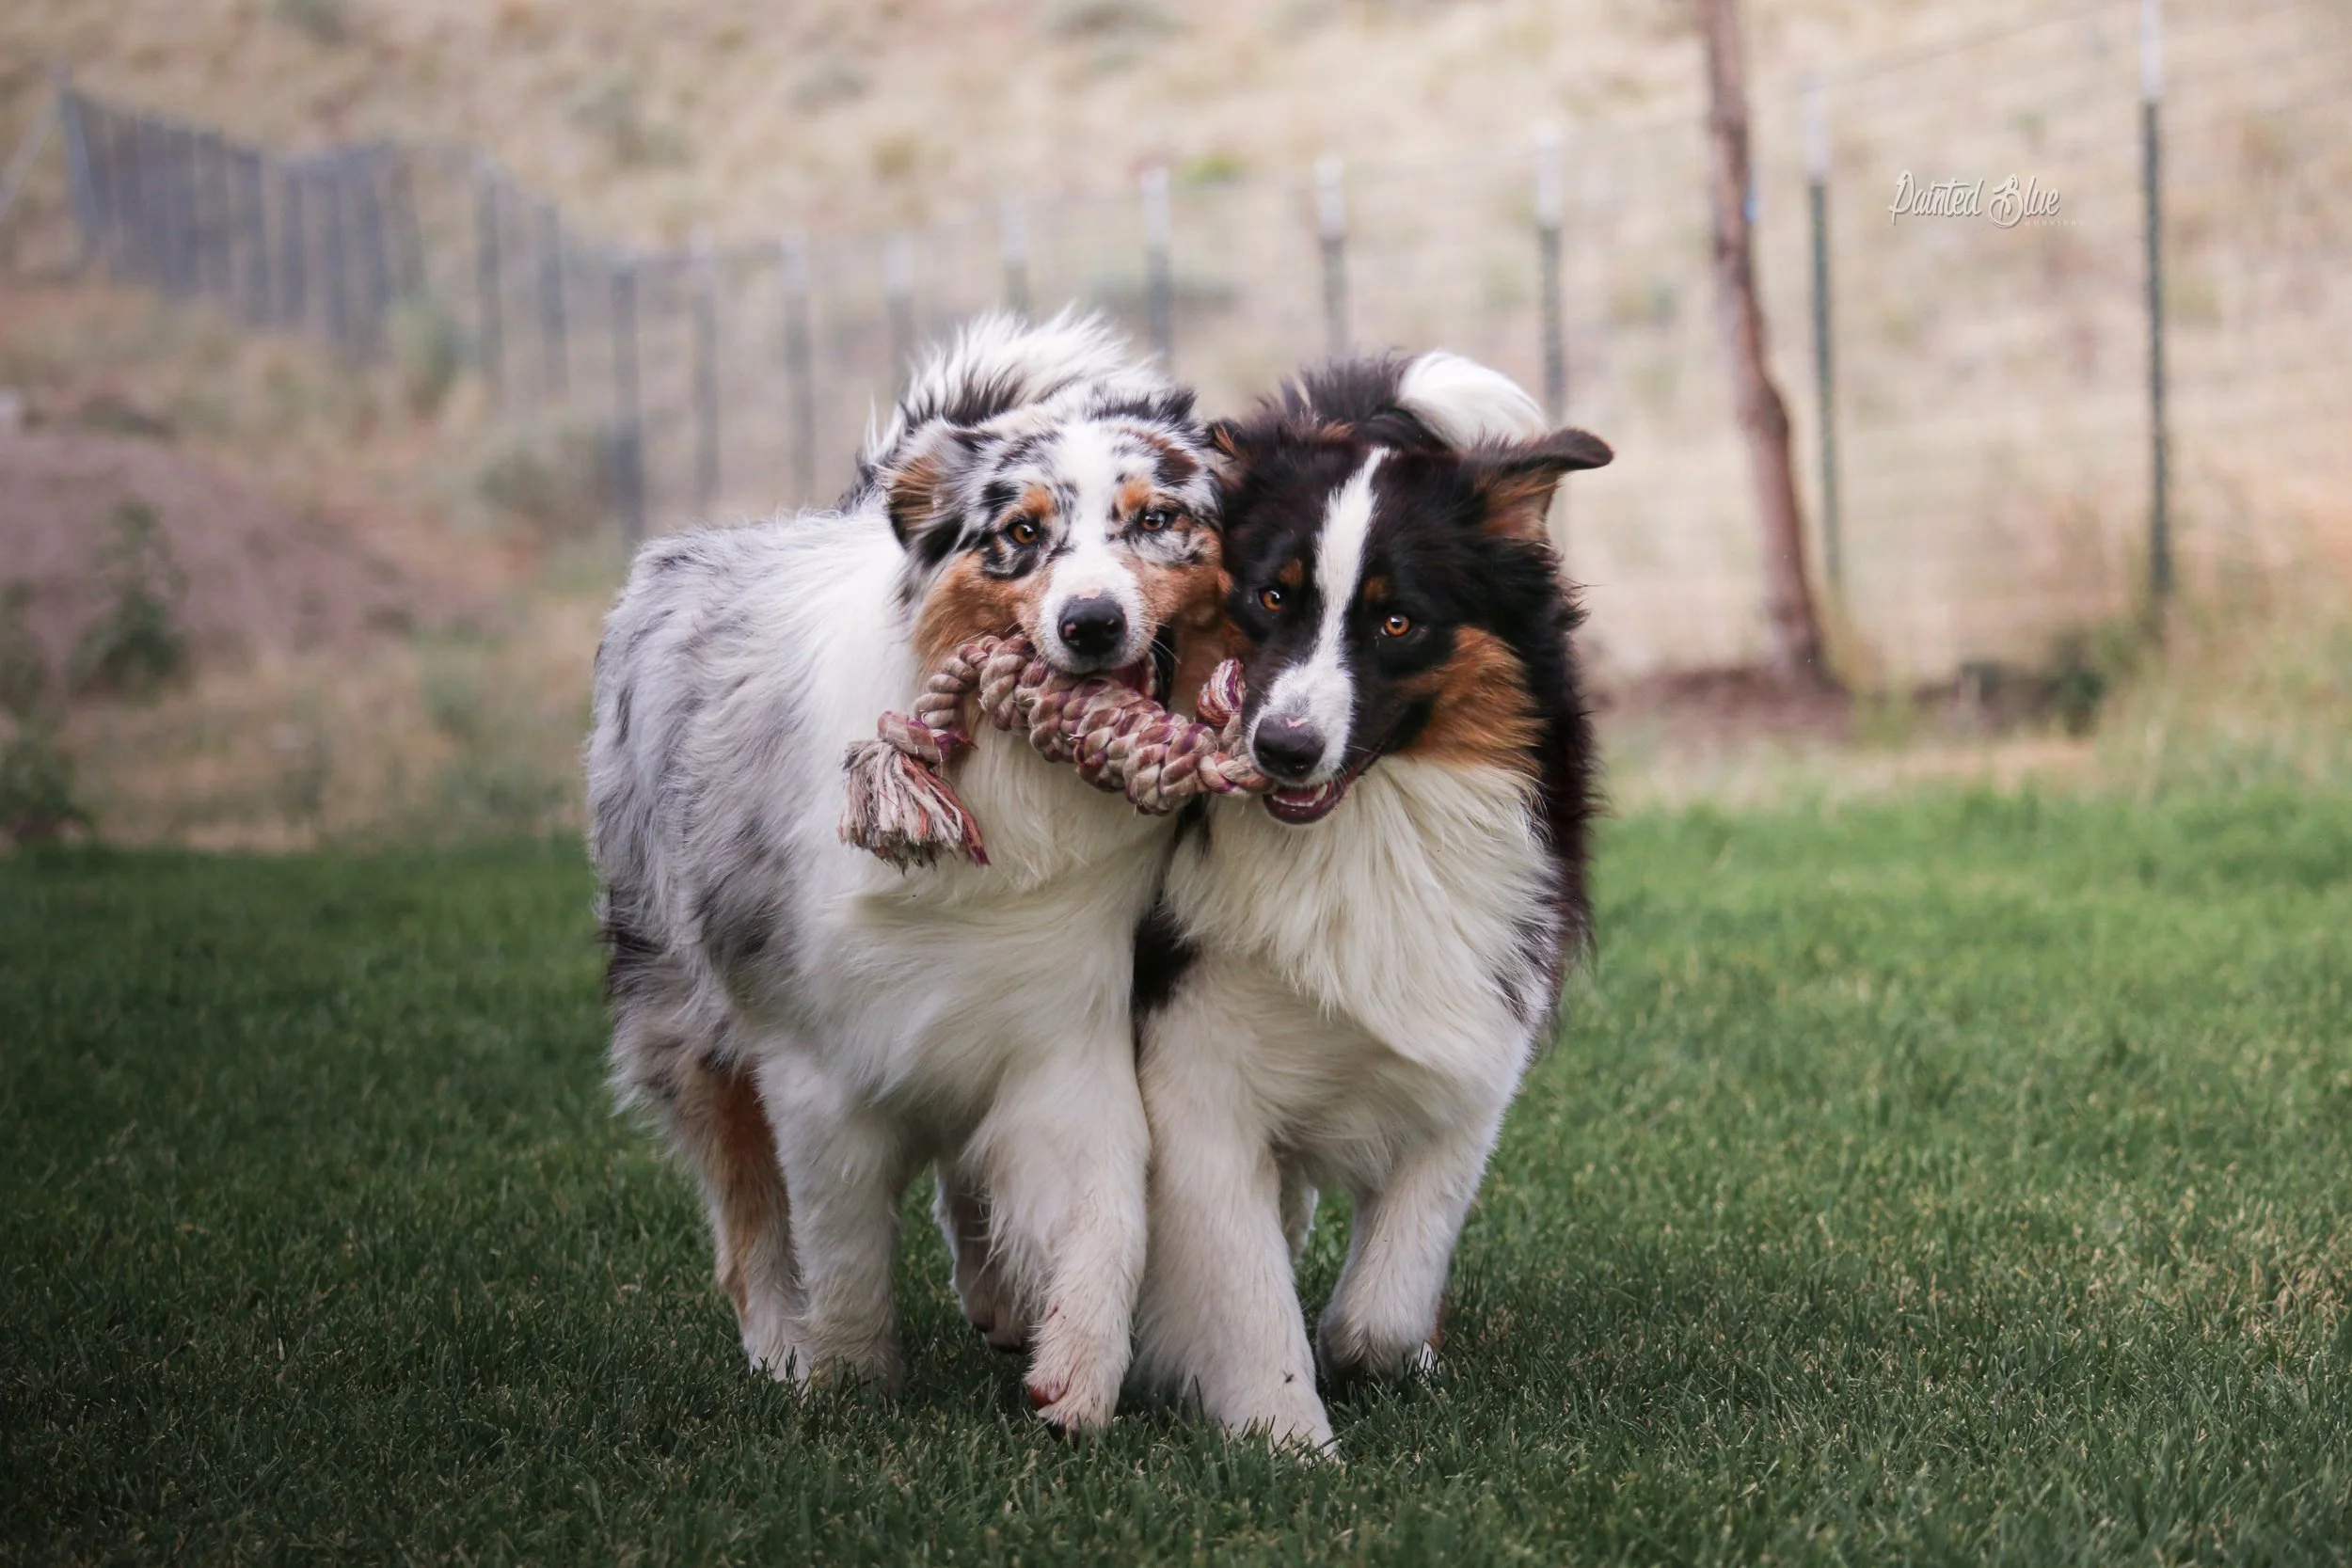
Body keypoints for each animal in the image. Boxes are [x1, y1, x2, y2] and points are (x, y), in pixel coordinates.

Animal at [585, 311, 1223, 1431]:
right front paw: (842, 1380)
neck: (1000, 794)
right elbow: (839, 1246)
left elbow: (1109, 1203)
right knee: (746, 1214)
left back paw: (999, 1300)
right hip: (686, 1013)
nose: (1091, 623)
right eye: (1021, 533)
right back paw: (778, 1345)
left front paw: (1078, 1368)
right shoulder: (814, 1063)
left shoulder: (1062, 1024)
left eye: (1156, 520)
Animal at [1130, 351, 1610, 1449]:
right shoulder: (1189, 1063)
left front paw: (1378, 1356)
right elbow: (1246, 1285)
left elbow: (1382, 1307)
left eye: (1397, 619)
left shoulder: (1473, 1034)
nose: (1283, 748)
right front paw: (1287, 1441)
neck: (1360, 830)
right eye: (1270, 596)